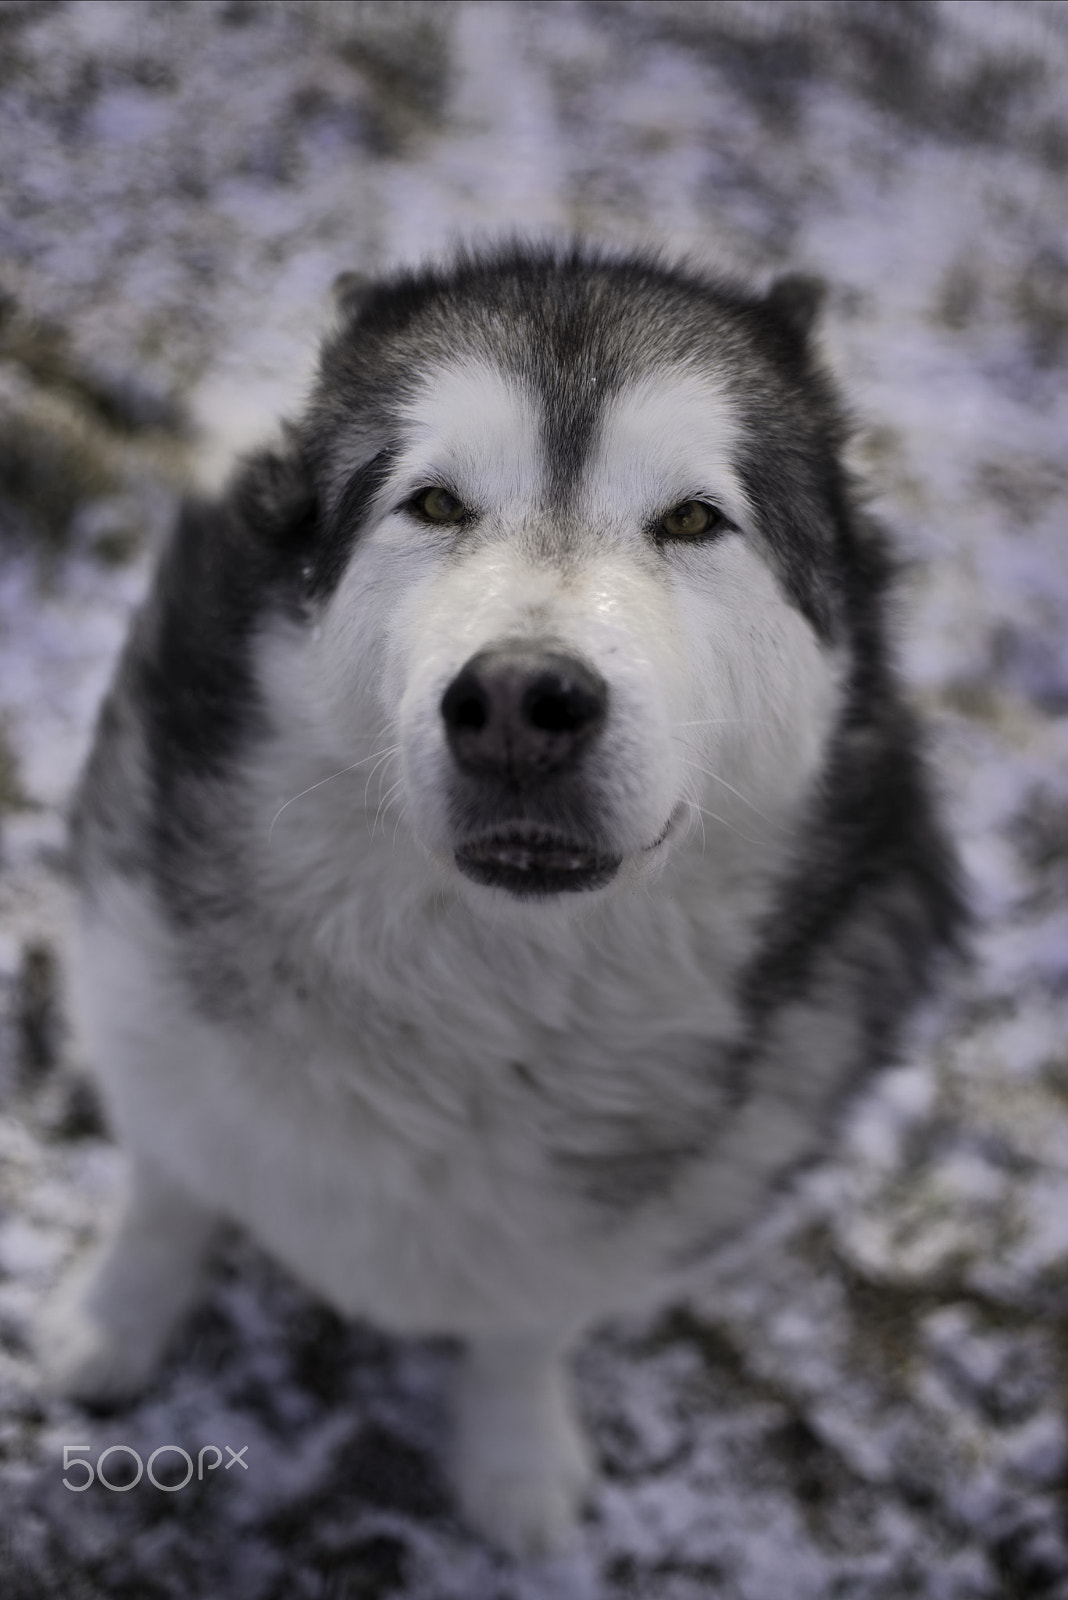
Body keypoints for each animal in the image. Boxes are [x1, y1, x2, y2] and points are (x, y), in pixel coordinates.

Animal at [37, 243, 965, 1555]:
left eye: (694, 519)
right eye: (433, 505)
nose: (524, 700)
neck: (485, 1000)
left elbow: (528, 1326)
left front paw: (514, 1465)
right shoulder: (151, 1017)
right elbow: (168, 1194)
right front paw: (111, 1328)